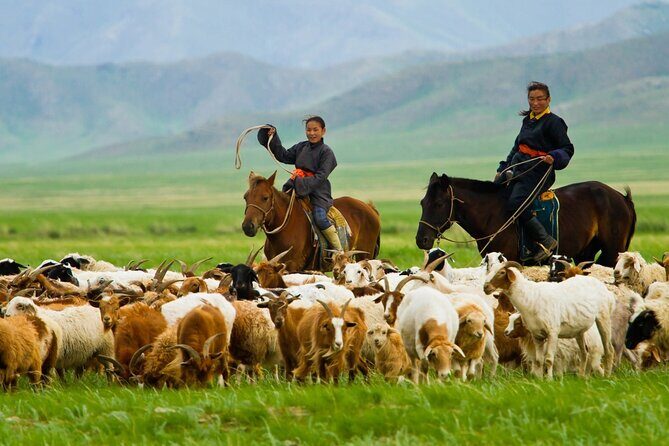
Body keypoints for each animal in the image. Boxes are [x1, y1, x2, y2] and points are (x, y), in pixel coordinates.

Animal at [242, 171, 381, 272]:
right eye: (245, 197)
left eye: (265, 197)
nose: (248, 226)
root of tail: (369, 207)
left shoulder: (292, 267)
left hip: (365, 255)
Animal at [415, 173, 636, 266]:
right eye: (422, 203)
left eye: (438, 204)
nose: (421, 240)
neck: (491, 215)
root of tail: (622, 198)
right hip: (585, 253)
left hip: (612, 252)